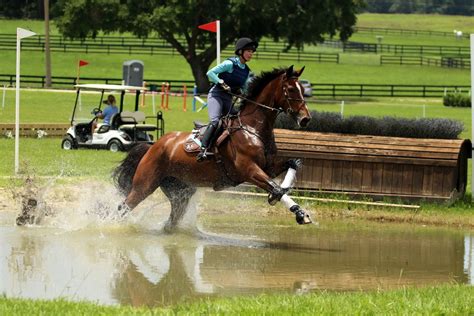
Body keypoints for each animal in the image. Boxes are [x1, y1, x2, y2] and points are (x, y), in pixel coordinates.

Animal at [114, 65, 312, 231]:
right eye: (291, 89)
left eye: (303, 90)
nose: (305, 119)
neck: (253, 129)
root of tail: (154, 145)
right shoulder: (249, 170)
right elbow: (275, 187)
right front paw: (299, 213)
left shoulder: (268, 167)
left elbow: (292, 164)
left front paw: (284, 197)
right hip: (145, 184)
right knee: (124, 206)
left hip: (180, 190)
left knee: (173, 218)